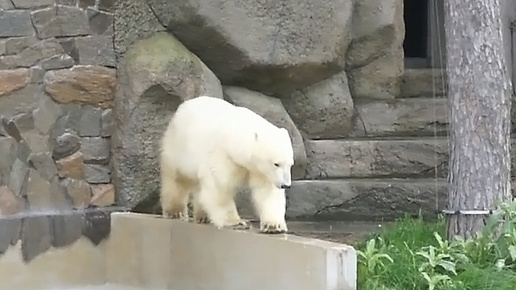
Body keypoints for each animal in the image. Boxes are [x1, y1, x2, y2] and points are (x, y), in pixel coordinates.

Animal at [159, 95, 294, 233]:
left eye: (290, 164)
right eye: (276, 164)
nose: (286, 185)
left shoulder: (260, 170)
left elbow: (266, 191)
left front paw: (273, 226)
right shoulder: (222, 154)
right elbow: (219, 186)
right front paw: (236, 223)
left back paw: (203, 217)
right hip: (178, 146)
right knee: (176, 178)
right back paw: (175, 212)